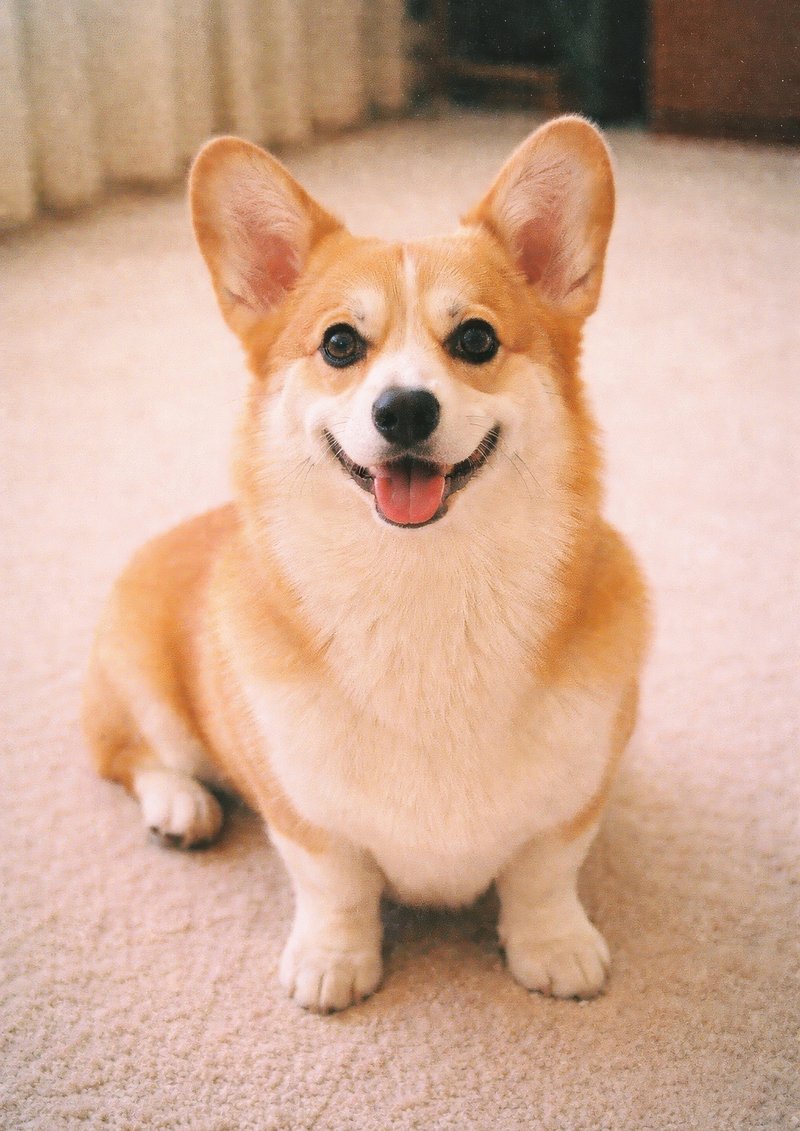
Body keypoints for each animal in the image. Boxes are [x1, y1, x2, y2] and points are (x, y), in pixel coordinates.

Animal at [83, 116, 649, 1012]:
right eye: (340, 343)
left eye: (476, 339)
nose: (404, 408)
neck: (423, 587)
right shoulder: (301, 810)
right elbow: (334, 882)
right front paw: (333, 960)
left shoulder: (575, 796)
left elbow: (544, 873)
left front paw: (555, 948)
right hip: (145, 688)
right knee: (129, 755)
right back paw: (180, 804)